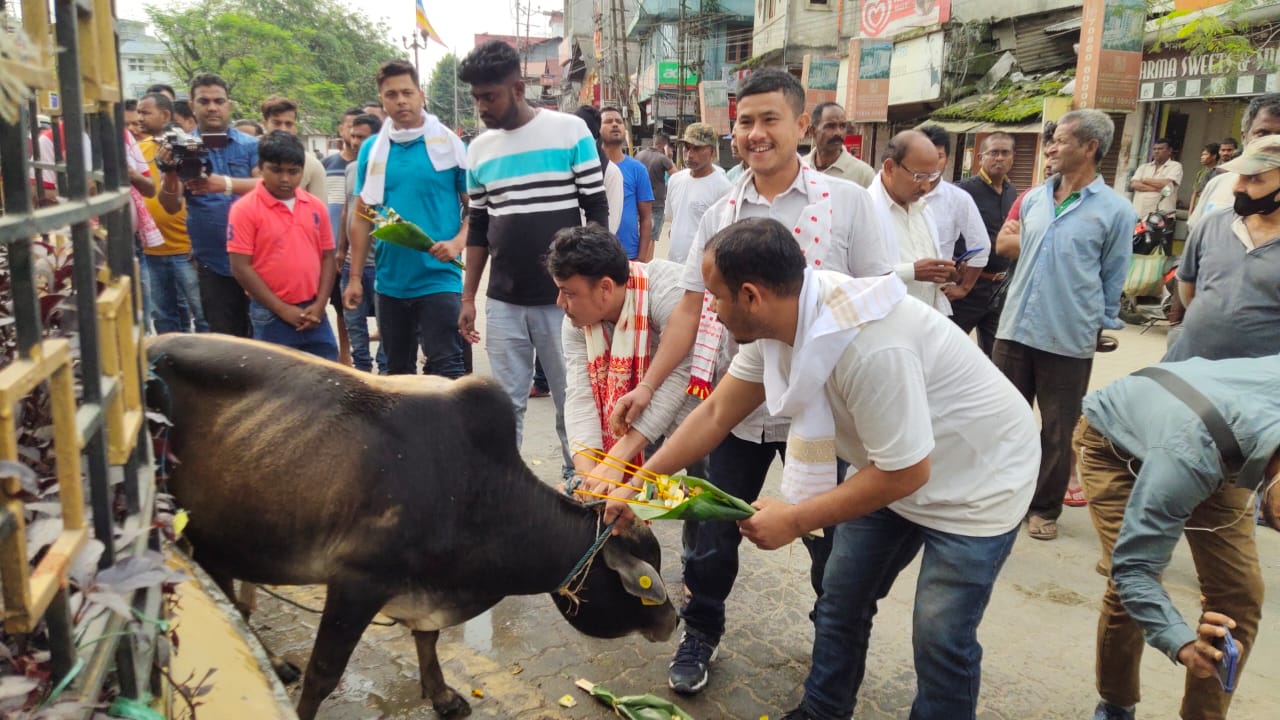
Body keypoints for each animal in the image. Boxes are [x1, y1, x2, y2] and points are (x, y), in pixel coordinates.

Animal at [147, 333, 680, 712]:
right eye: (645, 581)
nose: (673, 621)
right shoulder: (357, 582)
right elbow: (324, 674)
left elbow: (427, 639)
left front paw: (441, 694)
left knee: (233, 597)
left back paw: (274, 661)